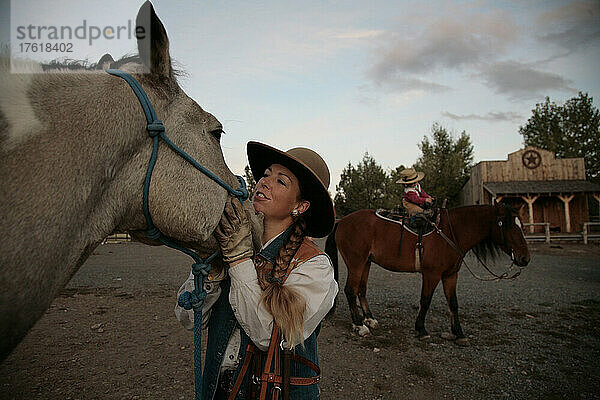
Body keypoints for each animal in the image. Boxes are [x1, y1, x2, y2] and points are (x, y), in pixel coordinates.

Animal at [328, 205, 528, 346]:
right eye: (509, 226)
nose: (525, 258)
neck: (452, 233)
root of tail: (342, 222)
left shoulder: (450, 275)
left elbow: (453, 303)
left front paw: (459, 333)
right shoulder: (432, 274)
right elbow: (425, 300)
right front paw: (421, 330)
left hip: (366, 262)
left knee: (361, 289)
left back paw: (369, 319)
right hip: (356, 262)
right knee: (350, 290)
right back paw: (359, 325)